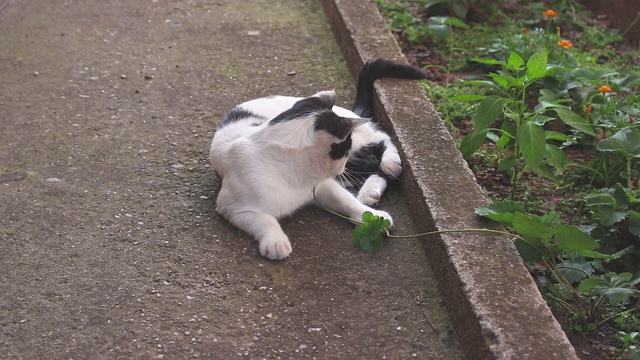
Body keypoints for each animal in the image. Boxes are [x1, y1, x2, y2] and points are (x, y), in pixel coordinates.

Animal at [210, 58, 428, 258]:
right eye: (343, 148)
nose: (343, 164)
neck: (297, 176)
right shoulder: (233, 207)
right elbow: (265, 220)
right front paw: (276, 242)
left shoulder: (323, 185)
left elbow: (346, 200)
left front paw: (372, 217)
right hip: (353, 165)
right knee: (371, 166)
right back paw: (370, 191)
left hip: (361, 145)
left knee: (382, 137)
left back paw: (389, 164)